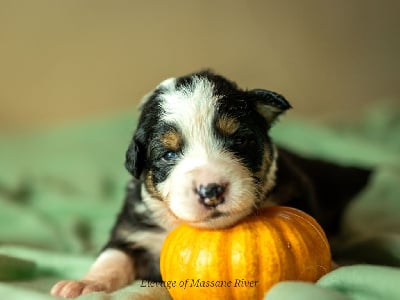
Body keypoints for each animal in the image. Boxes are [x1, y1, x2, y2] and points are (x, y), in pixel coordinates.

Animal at [50, 70, 372, 298]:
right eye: (168, 154)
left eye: (239, 141)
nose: (211, 191)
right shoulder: (132, 228)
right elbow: (113, 257)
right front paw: (82, 284)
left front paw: (334, 268)